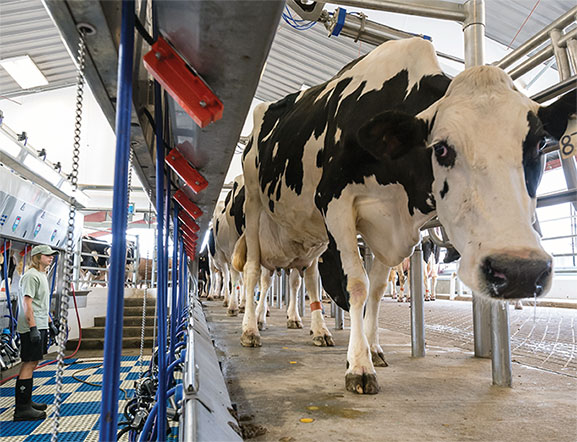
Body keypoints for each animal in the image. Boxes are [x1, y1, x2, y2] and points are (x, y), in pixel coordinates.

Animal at [232, 37, 572, 394]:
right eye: (441, 148)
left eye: (538, 144)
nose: (520, 270)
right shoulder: (334, 202)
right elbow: (358, 284)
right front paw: (359, 365)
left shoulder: (390, 227)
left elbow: (378, 289)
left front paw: (373, 348)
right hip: (254, 202)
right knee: (254, 271)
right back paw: (251, 329)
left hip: (308, 233)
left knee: (306, 279)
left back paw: (317, 330)